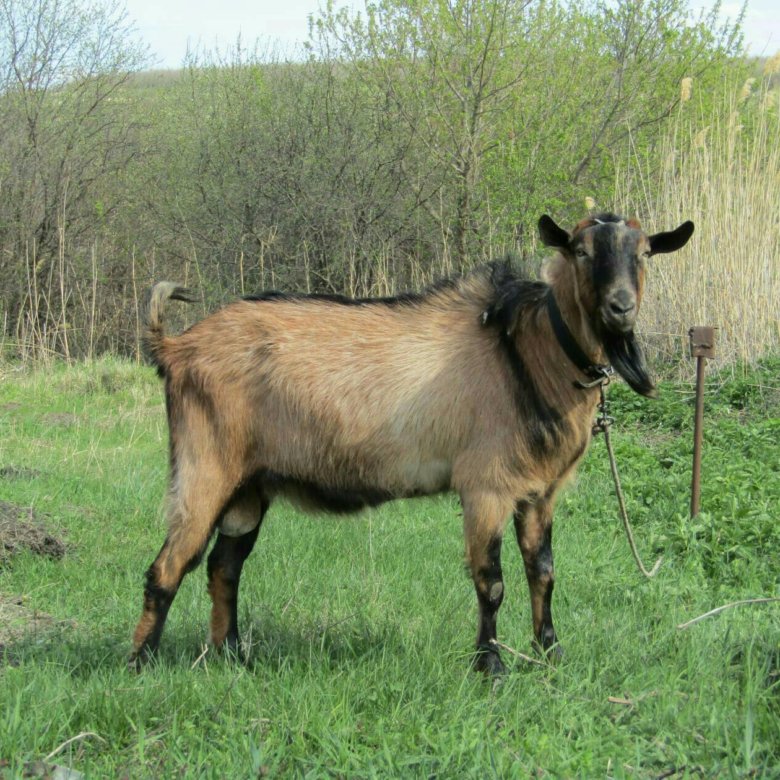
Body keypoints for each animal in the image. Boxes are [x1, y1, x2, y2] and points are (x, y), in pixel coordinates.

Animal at [129, 212, 696, 672]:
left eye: (645, 252)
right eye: (580, 250)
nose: (620, 307)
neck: (526, 354)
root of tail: (175, 347)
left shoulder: (540, 492)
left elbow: (544, 572)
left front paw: (551, 655)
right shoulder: (485, 486)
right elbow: (491, 582)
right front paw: (490, 667)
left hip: (250, 485)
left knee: (224, 567)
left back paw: (231, 656)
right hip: (205, 464)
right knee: (168, 566)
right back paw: (141, 664)